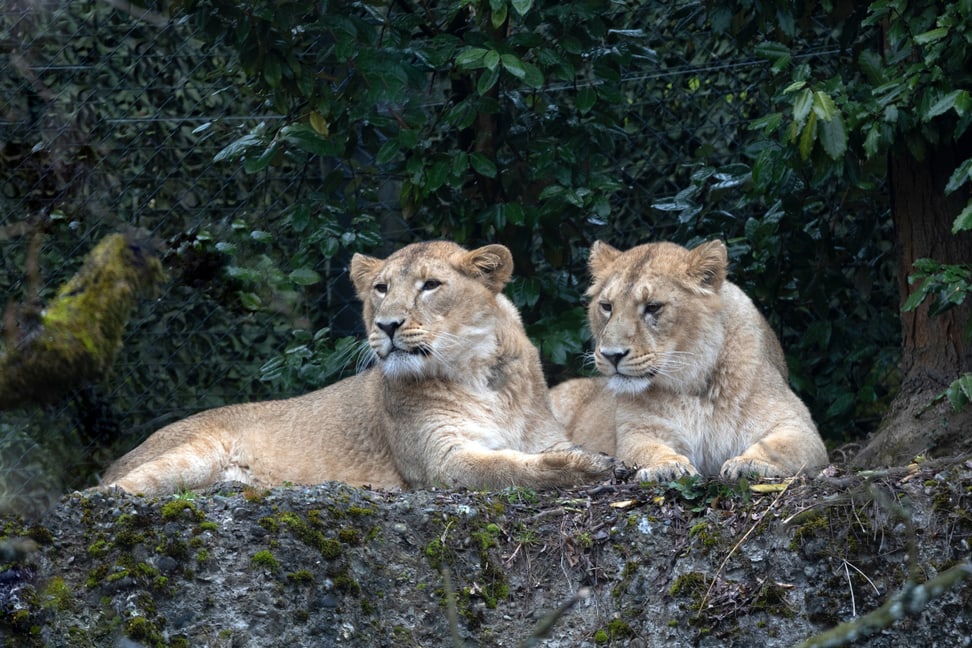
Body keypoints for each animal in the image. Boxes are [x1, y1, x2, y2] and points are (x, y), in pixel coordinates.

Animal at [101, 241, 613, 496]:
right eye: (381, 289)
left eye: (431, 285)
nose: (387, 325)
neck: (479, 374)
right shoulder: (441, 461)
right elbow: (510, 469)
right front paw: (585, 467)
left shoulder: (545, 435)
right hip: (191, 453)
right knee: (111, 492)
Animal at [550, 239, 828, 481]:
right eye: (607, 306)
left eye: (653, 307)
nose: (611, 355)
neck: (692, 385)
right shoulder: (638, 432)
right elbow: (645, 450)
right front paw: (667, 467)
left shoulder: (798, 427)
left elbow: (780, 447)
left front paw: (750, 463)